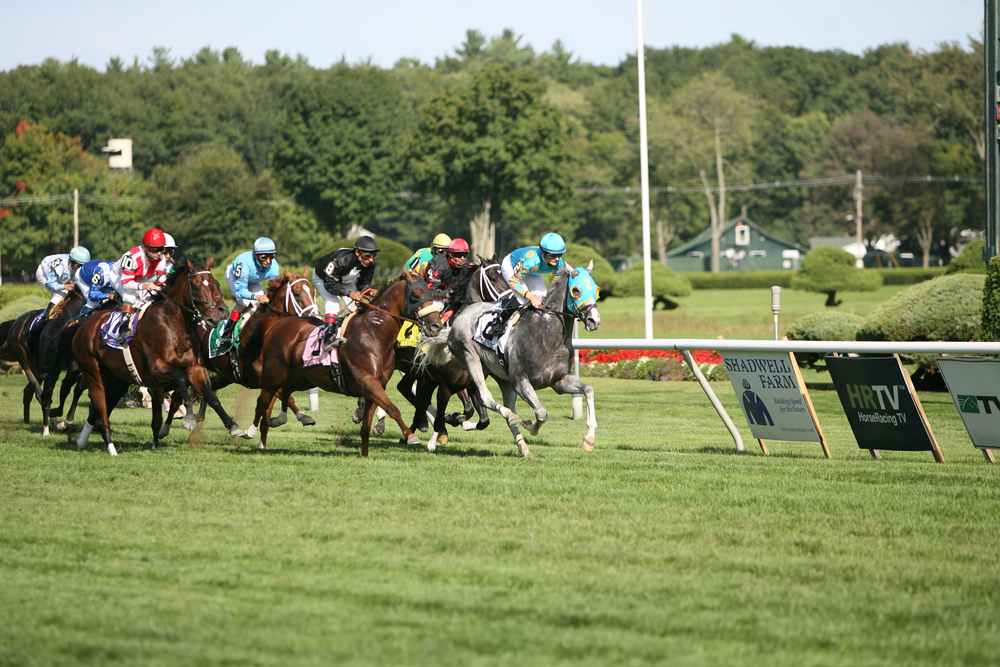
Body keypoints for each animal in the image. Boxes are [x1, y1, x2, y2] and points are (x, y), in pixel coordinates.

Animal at [71, 258, 244, 456]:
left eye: (216, 284)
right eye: (195, 287)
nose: (221, 312)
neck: (174, 326)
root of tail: (85, 324)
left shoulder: (195, 368)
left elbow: (210, 395)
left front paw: (234, 427)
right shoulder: (155, 369)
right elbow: (180, 377)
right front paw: (189, 417)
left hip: (116, 380)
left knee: (98, 411)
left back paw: (82, 441)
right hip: (93, 374)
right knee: (100, 409)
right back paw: (110, 448)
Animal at [247, 272, 442, 454]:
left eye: (431, 293)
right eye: (416, 295)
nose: (436, 326)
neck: (373, 332)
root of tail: (275, 322)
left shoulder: (376, 386)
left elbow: (367, 424)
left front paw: (365, 453)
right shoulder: (369, 383)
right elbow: (393, 409)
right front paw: (411, 436)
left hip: (300, 378)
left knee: (284, 392)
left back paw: (278, 423)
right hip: (273, 376)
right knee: (262, 401)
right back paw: (250, 432)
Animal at [416, 264, 596, 456]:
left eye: (596, 289)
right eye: (576, 290)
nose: (594, 320)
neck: (546, 334)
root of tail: (458, 319)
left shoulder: (559, 381)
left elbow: (588, 390)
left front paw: (589, 439)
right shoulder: (520, 381)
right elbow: (541, 413)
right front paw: (530, 426)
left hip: (503, 378)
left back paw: (522, 446)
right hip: (469, 356)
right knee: (485, 397)